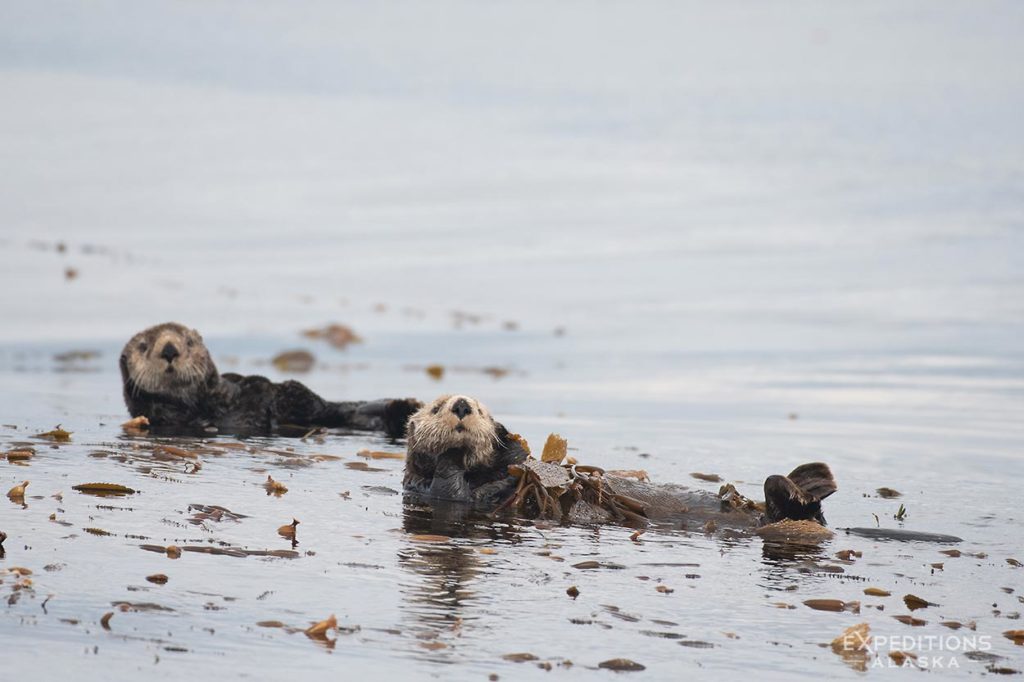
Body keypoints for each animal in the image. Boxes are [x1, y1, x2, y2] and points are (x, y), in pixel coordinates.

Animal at [403, 393, 962, 540]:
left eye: (479, 407)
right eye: (436, 406)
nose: (461, 405)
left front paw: (514, 446)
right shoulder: (437, 491)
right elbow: (458, 483)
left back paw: (810, 477)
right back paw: (809, 482)